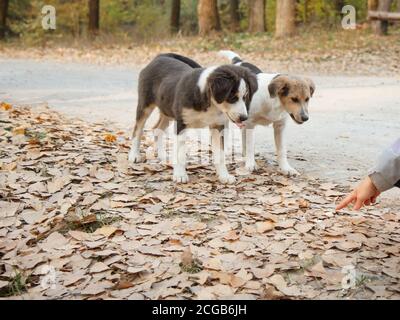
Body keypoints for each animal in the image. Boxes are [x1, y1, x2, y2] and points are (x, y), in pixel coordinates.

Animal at [130, 53, 258, 184]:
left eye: (245, 97)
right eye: (232, 97)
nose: (244, 118)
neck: (209, 103)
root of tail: (159, 57)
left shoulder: (217, 126)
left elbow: (220, 154)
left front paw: (224, 176)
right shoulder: (181, 123)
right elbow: (180, 152)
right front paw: (180, 175)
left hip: (167, 111)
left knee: (157, 129)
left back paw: (163, 156)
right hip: (145, 105)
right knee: (137, 130)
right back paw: (134, 155)